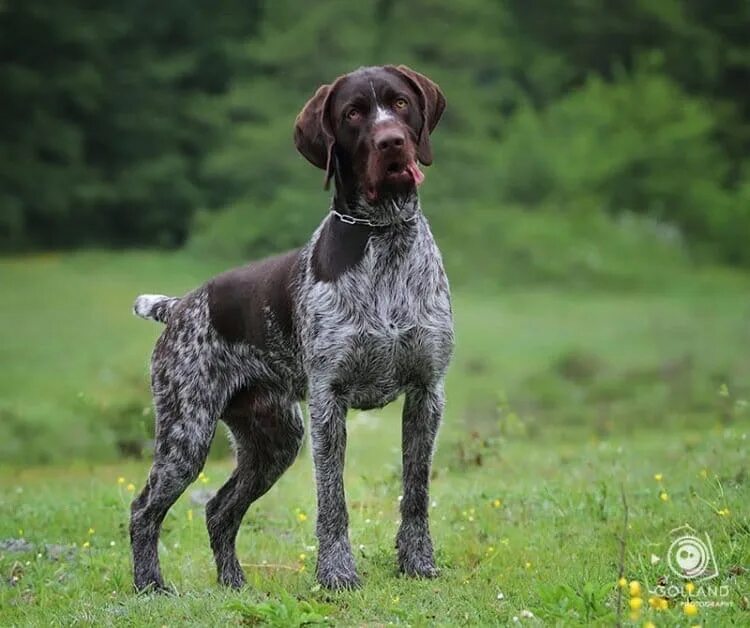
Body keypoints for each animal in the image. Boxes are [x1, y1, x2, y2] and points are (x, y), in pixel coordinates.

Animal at [131, 66, 456, 592]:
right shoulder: (330, 398)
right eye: (352, 113)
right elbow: (333, 500)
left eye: (401, 104)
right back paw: (150, 588)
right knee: (144, 509)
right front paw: (338, 574)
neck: (382, 235)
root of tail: (180, 306)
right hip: (187, 434)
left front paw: (418, 564)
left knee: (219, 510)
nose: (391, 142)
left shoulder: (427, 392)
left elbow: (416, 493)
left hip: (275, 439)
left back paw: (233, 584)